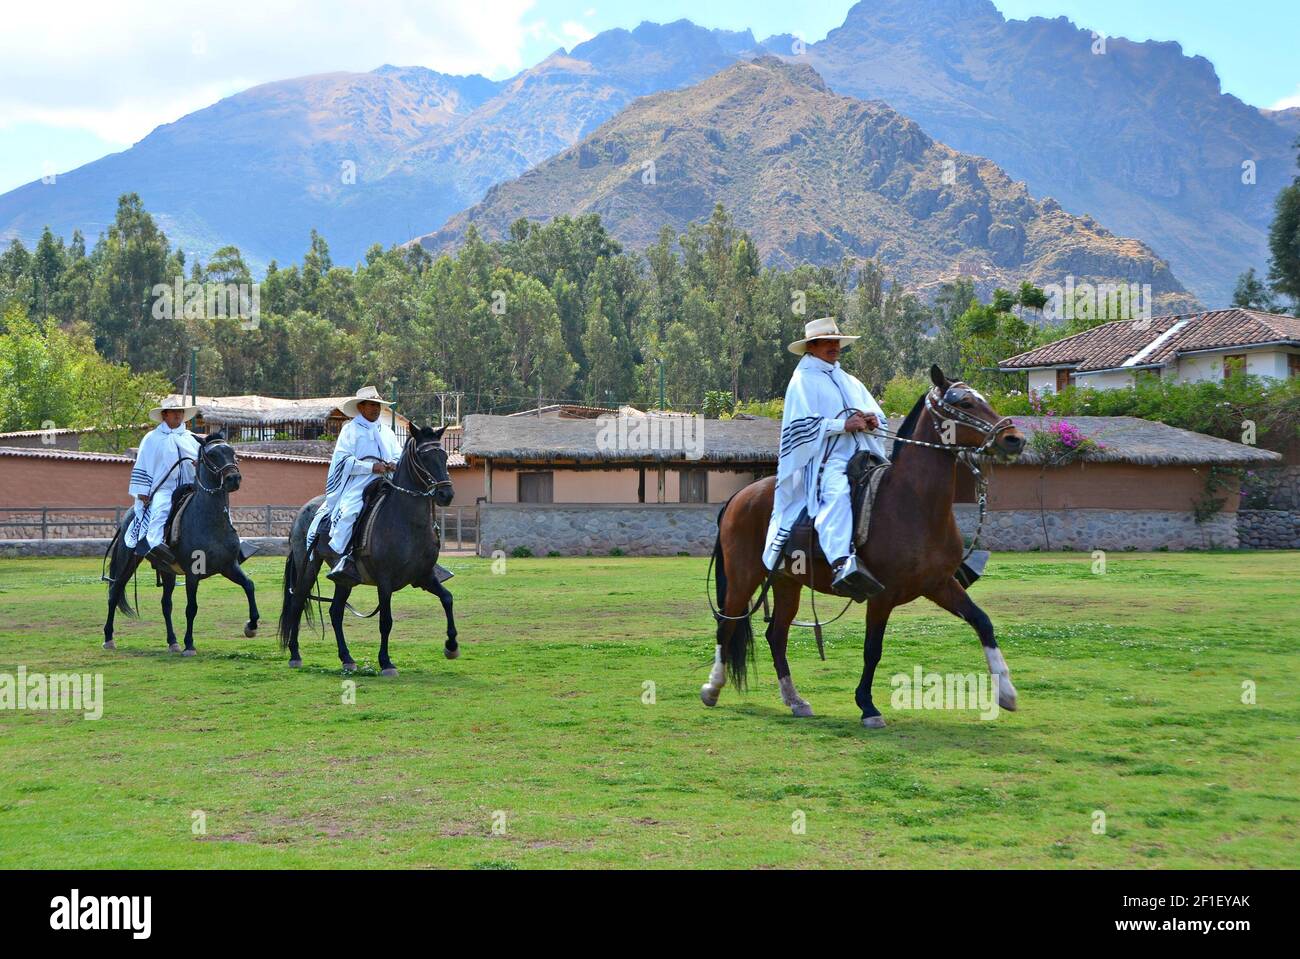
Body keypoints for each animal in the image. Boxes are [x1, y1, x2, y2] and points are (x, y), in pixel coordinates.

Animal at [105, 431, 261, 649]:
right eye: (211, 455)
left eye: (232, 452)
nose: (233, 478)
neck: (210, 522)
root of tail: (130, 514)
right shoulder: (192, 574)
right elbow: (191, 608)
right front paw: (189, 644)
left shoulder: (229, 566)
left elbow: (249, 586)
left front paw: (251, 625)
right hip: (128, 562)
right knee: (114, 592)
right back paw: (108, 638)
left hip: (166, 570)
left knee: (166, 604)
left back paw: (172, 641)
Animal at [275, 426, 457, 670]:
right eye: (423, 457)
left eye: (444, 456)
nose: (446, 494)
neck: (407, 523)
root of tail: (301, 512)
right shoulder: (385, 582)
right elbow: (386, 621)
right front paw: (386, 662)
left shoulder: (425, 576)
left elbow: (447, 599)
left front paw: (451, 646)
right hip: (308, 567)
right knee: (298, 602)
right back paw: (295, 654)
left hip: (343, 579)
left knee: (335, 612)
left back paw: (347, 658)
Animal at [702, 366, 1024, 722]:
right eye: (965, 403)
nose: (1014, 438)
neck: (914, 504)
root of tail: (738, 496)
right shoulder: (882, 596)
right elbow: (873, 649)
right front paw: (867, 706)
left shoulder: (940, 584)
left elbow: (983, 621)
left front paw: (1007, 692)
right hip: (743, 577)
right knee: (726, 626)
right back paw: (712, 688)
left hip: (787, 582)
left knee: (776, 634)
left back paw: (795, 699)